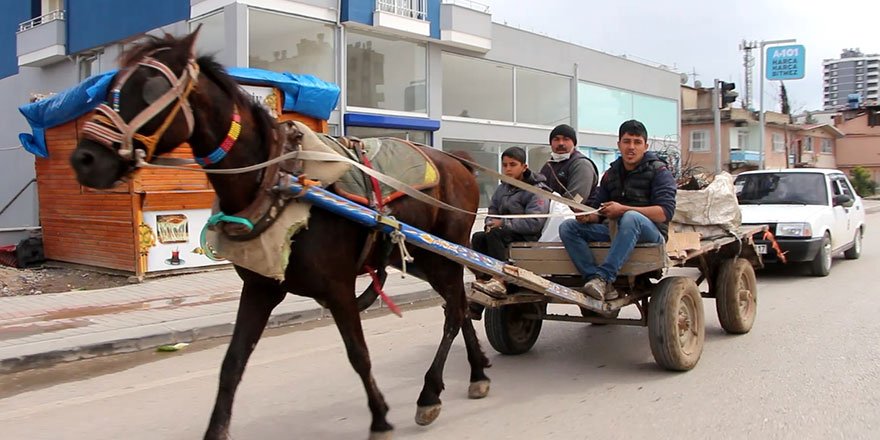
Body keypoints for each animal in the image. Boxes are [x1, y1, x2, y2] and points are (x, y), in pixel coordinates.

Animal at [69, 29, 492, 438]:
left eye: (151, 88)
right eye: (109, 89)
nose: (84, 159)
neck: (278, 180)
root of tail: (460, 163)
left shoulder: (338, 288)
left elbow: (358, 354)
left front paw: (380, 419)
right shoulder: (260, 287)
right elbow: (233, 362)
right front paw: (216, 429)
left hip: (443, 253)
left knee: (454, 311)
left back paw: (430, 392)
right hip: (428, 258)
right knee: (458, 306)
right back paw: (477, 371)